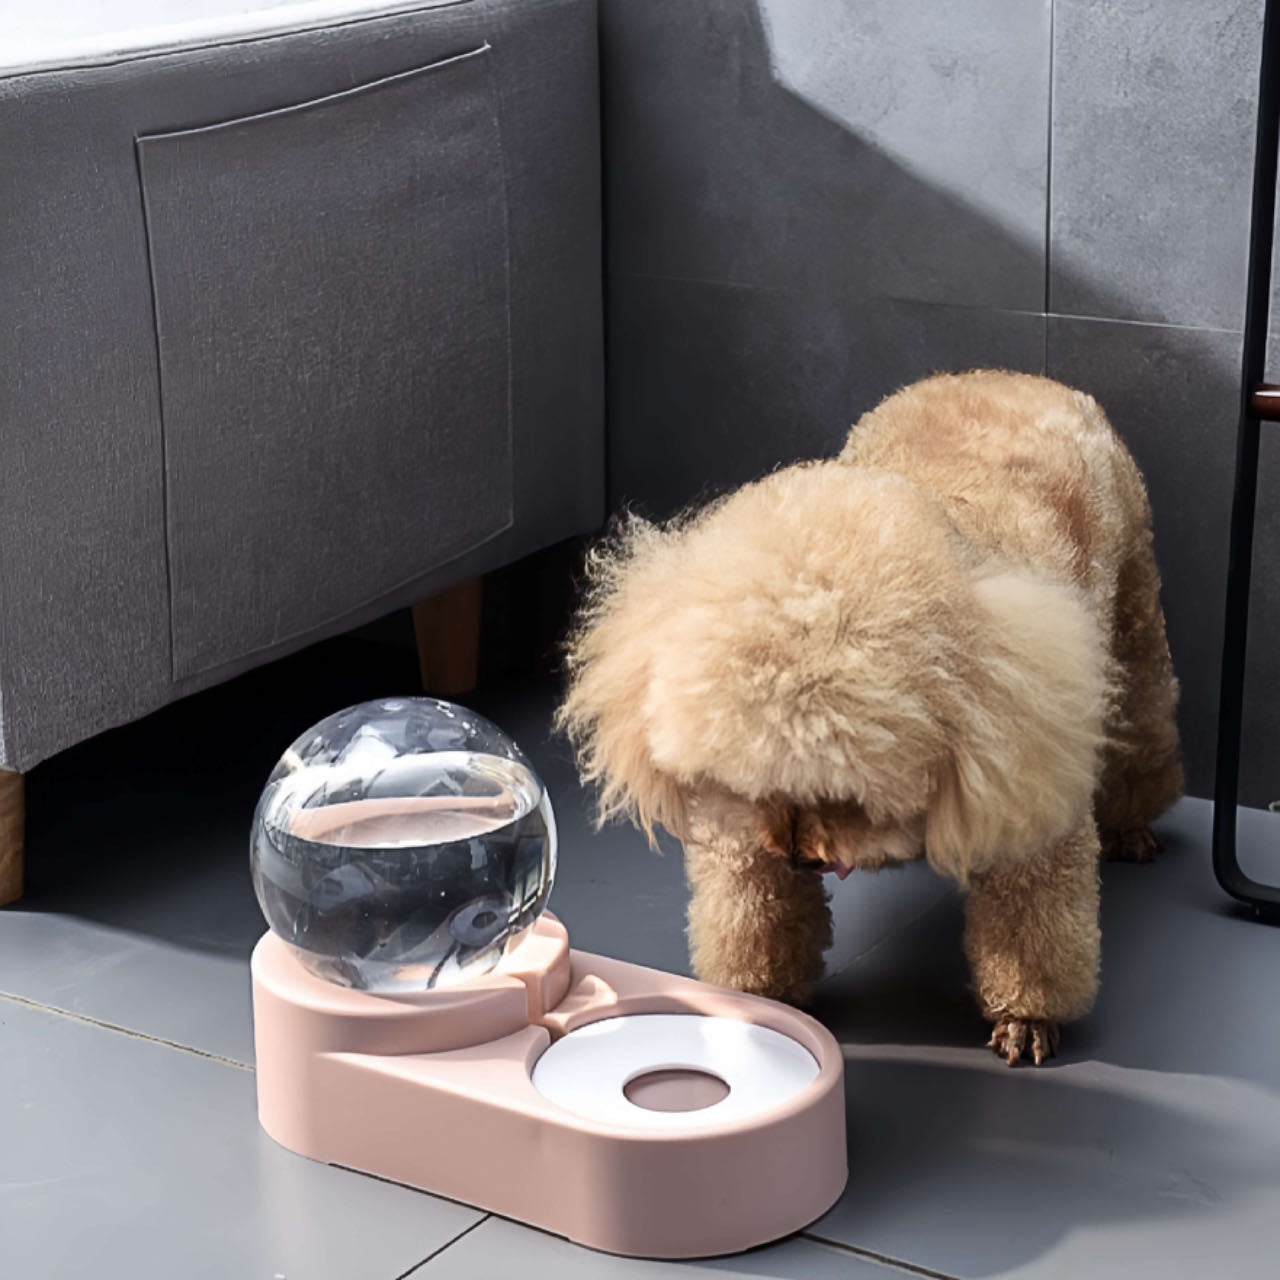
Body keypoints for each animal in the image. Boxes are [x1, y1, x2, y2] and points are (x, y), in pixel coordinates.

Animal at [560, 373, 1177, 1070]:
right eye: (754, 782)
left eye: (849, 793)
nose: (799, 856)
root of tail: (1006, 375)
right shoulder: (740, 833)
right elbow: (755, 915)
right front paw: (763, 1001)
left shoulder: (1032, 776)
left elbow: (1033, 918)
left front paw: (1027, 1016)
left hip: (1134, 611)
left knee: (1142, 721)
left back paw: (1130, 823)